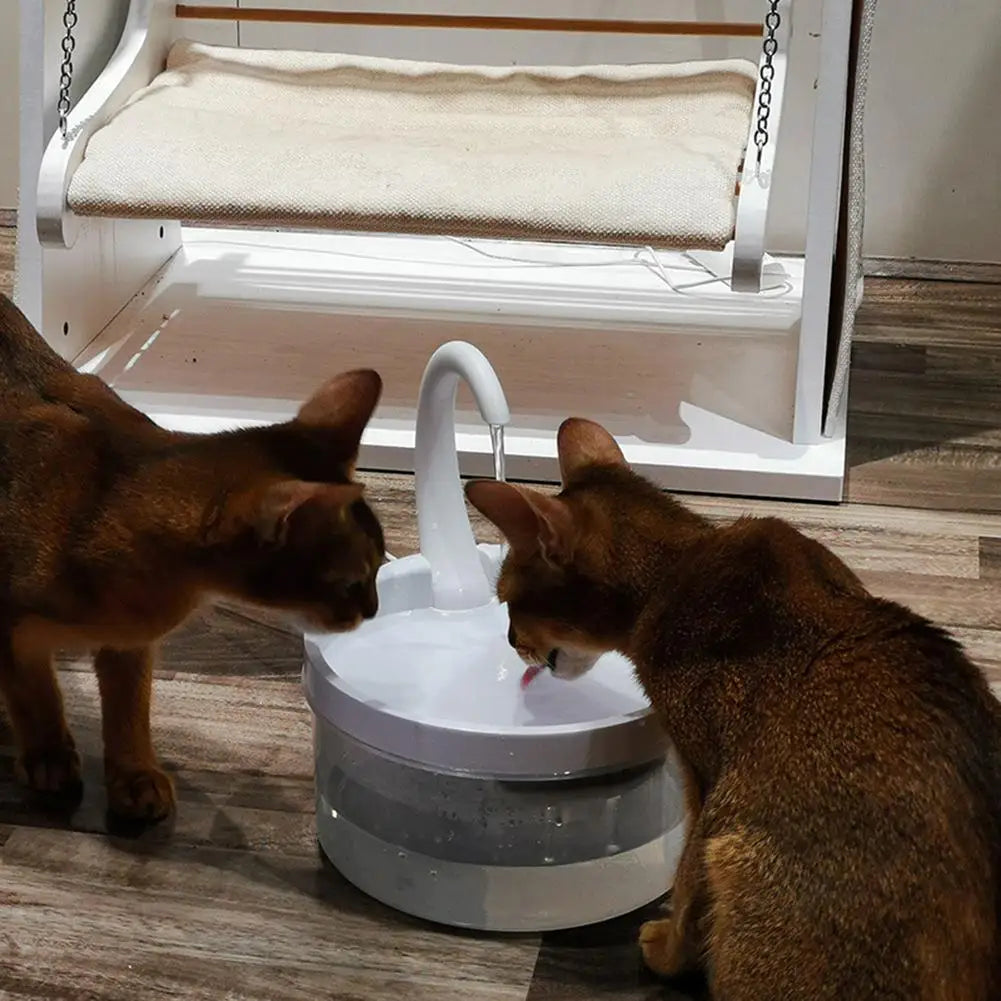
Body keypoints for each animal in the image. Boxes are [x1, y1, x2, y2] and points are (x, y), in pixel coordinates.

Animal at [1, 292, 384, 820]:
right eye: (353, 582)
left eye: (381, 567)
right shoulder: (10, 633)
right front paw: (49, 756)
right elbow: (33, 695)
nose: (374, 610)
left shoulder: (130, 644)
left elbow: (128, 709)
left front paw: (134, 775)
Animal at [466, 416, 1001, 1001]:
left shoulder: (707, 785)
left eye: (508, 601)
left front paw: (665, 950)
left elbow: (687, 882)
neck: (678, 569)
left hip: (742, 859)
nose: (510, 639)